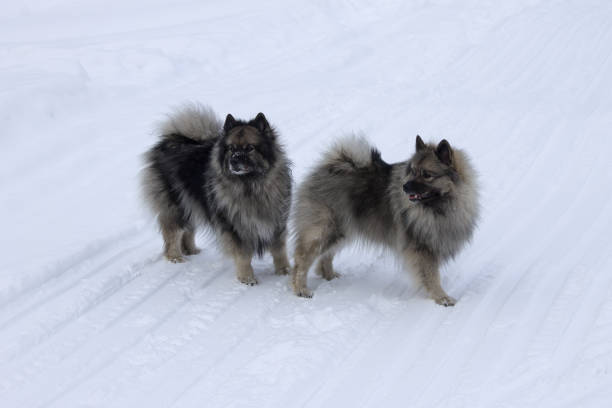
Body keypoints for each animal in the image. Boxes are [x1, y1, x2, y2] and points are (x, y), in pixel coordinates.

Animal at [141, 103, 292, 286]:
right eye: (231, 149)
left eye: (250, 148)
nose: (234, 160)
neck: (251, 186)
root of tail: (172, 140)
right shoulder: (234, 227)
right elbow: (243, 256)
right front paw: (247, 278)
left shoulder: (277, 222)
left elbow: (279, 250)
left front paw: (285, 271)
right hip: (177, 207)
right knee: (173, 234)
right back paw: (175, 258)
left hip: (192, 203)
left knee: (188, 231)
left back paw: (192, 251)